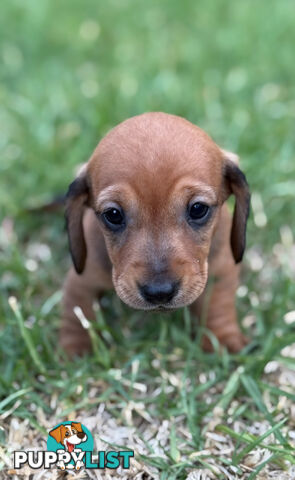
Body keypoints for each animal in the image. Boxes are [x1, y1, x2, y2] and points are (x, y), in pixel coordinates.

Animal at [61, 110, 251, 354]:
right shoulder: (82, 280)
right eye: (113, 214)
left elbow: (218, 304)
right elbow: (77, 312)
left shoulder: (222, 270)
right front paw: (77, 349)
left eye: (198, 209)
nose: (159, 292)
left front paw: (223, 339)